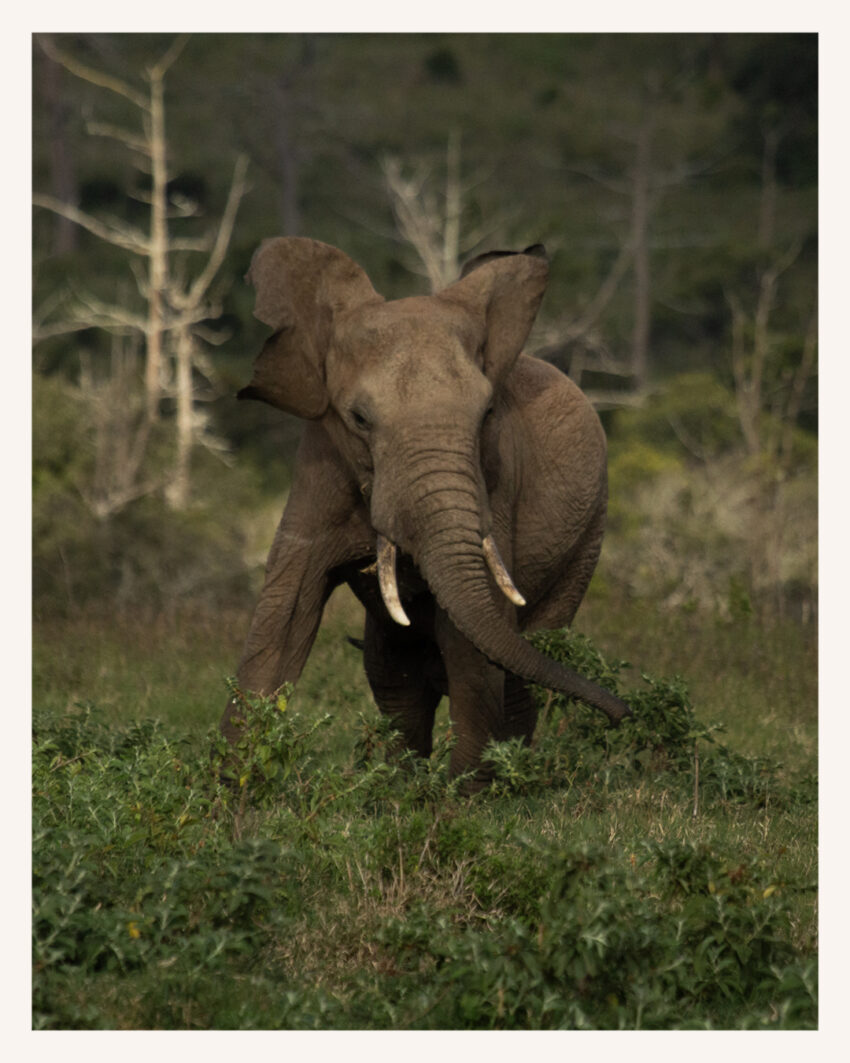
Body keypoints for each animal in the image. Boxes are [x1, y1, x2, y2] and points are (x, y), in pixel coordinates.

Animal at [222, 236, 630, 787]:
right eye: (359, 419)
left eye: (487, 414)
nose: (625, 714)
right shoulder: (319, 466)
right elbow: (285, 609)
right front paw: (233, 786)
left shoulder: (493, 479)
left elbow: (470, 640)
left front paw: (460, 795)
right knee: (394, 671)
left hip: (588, 535)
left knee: (524, 661)